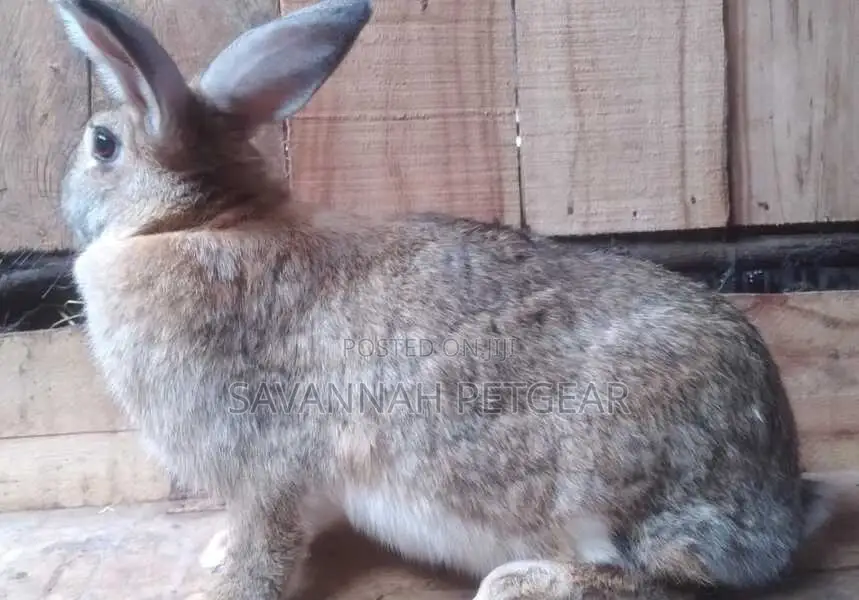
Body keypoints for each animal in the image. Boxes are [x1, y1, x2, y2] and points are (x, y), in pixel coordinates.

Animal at [49, 0, 837, 599]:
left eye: (102, 143)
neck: (194, 221)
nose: (63, 203)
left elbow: (264, 549)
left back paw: (522, 584)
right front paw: (214, 555)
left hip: (613, 486)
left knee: (670, 579)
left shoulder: (261, 469)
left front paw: (223, 583)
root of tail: (773, 508)